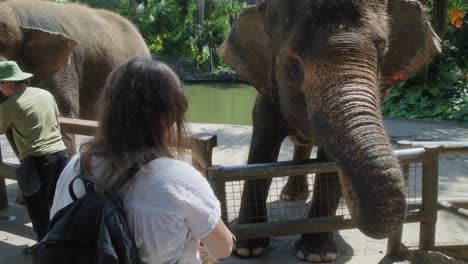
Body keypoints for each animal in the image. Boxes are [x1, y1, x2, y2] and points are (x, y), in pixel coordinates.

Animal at [218, 0, 440, 260]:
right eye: (293, 63)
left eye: (382, 53)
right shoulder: (266, 93)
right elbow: (261, 153)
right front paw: (246, 249)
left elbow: (329, 163)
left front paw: (316, 254)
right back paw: (292, 196)